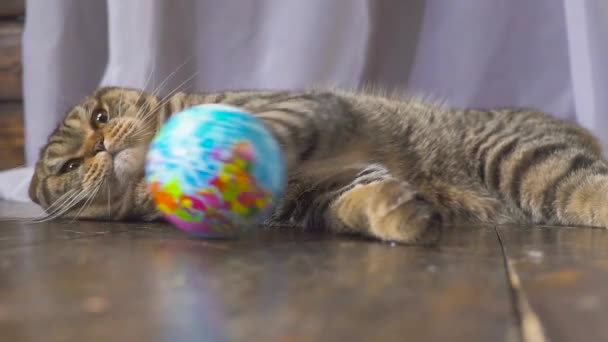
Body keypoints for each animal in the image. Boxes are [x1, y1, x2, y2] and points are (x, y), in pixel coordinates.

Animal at [27, 87, 608, 243]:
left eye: (101, 116)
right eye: (66, 168)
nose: (98, 148)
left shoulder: (300, 106)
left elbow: (266, 130)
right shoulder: (322, 191)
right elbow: (360, 200)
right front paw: (395, 213)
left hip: (515, 158)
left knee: (586, 187)